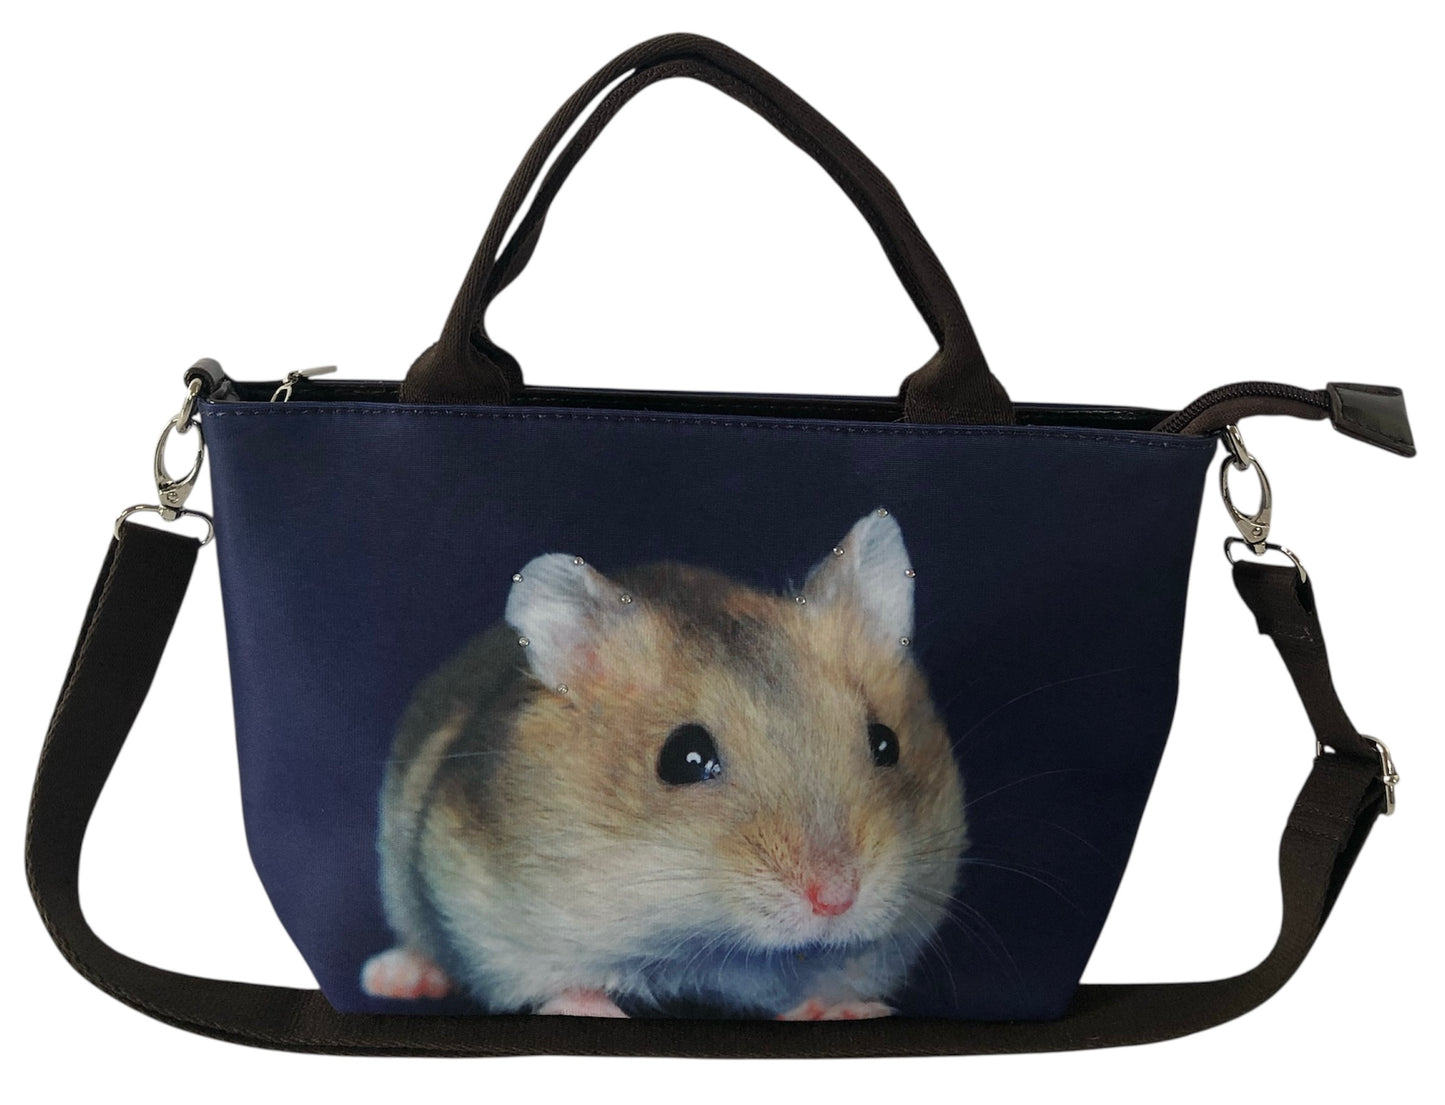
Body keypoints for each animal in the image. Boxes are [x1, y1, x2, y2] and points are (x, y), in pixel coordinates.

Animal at [361, 508, 966, 1019]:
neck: (711, 947)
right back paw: (391, 977)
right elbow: (559, 982)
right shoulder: (486, 907)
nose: (836, 899)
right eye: (685, 757)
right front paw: (594, 1008)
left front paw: (852, 1011)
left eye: (885, 744)